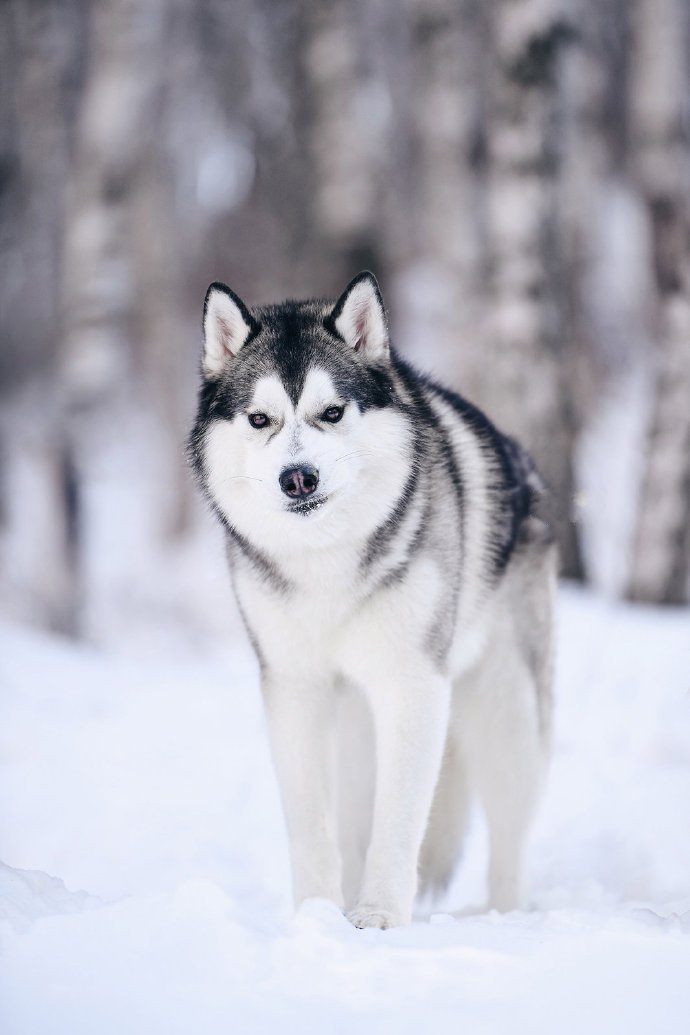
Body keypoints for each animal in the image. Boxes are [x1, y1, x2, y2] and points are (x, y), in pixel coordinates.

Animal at [189, 273, 554, 931]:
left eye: (331, 413)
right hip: (356, 726)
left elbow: (401, 819)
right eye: (260, 419)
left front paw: (379, 916)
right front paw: (315, 916)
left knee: (508, 842)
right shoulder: (294, 690)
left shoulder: (413, 687)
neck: (326, 566)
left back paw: (501, 916)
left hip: (505, 715)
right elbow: (311, 823)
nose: (298, 478)